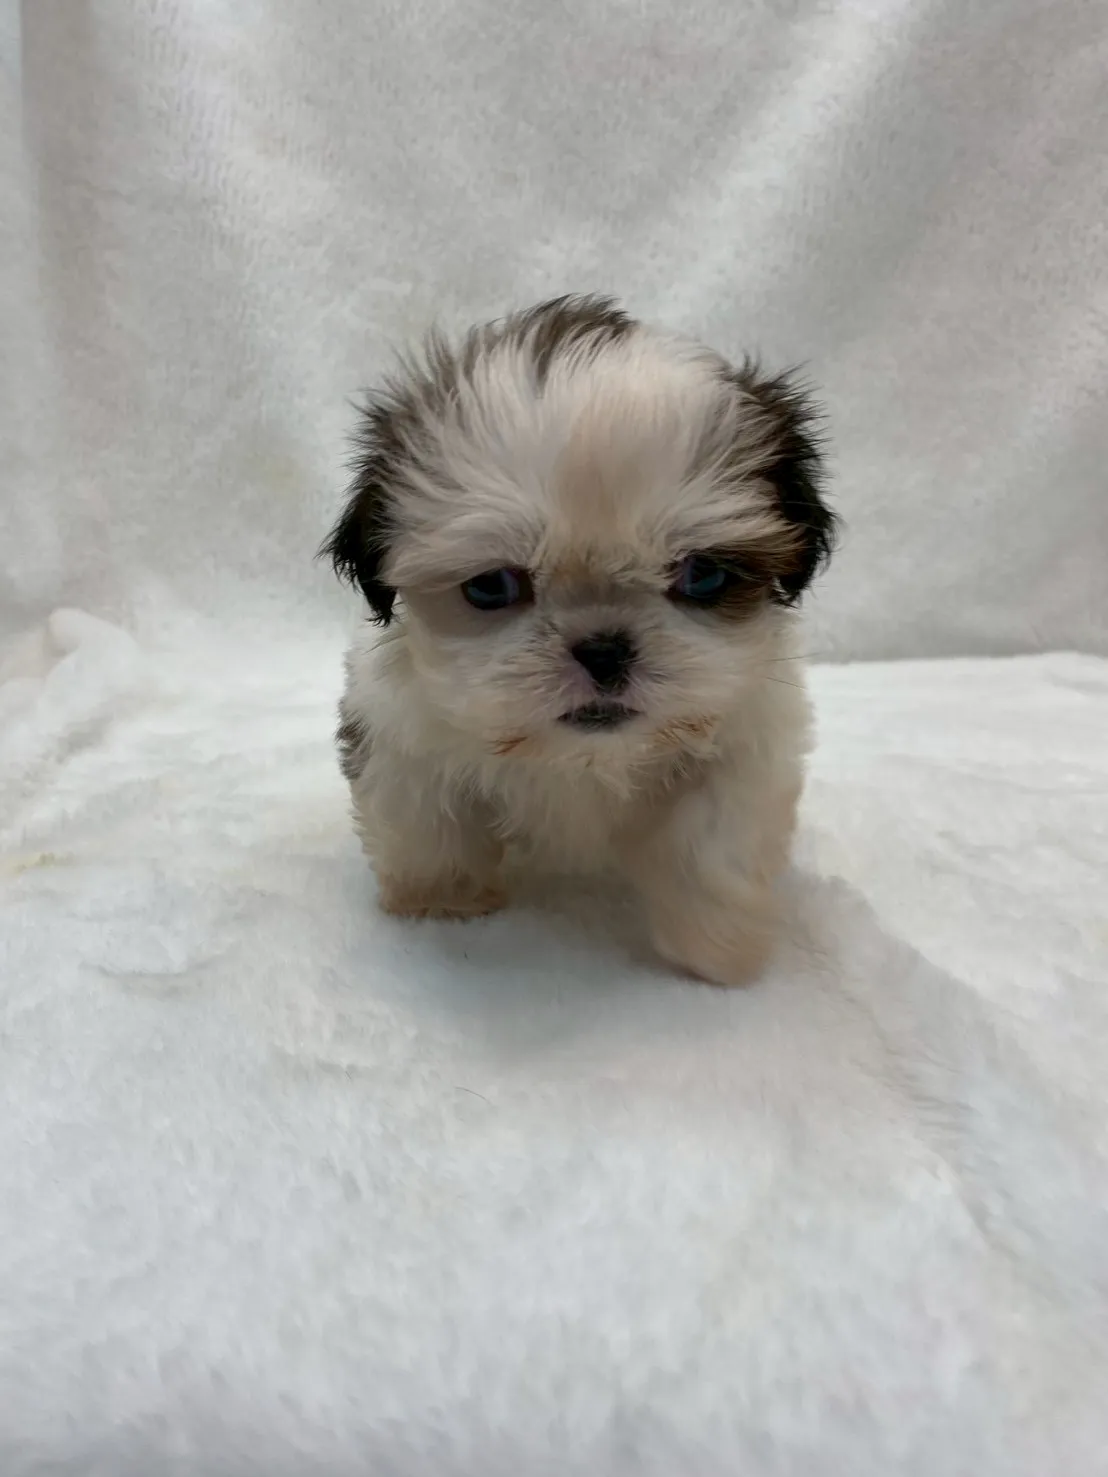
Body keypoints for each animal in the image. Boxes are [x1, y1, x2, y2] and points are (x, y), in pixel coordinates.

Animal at [323, 295, 835, 986]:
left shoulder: (745, 742)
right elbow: (428, 821)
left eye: (702, 575)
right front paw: (443, 899)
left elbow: (712, 848)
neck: (579, 759)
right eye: (491, 586)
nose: (603, 650)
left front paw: (715, 949)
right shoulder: (401, 735)